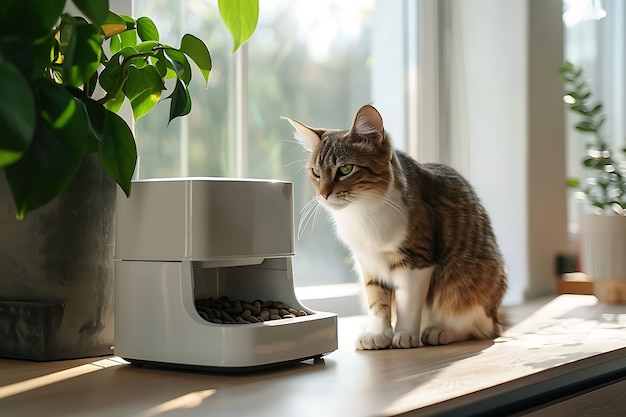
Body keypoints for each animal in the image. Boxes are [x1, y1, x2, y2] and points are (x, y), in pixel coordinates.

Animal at [286, 103, 504, 348]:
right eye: (316, 173)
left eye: (345, 169)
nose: (324, 194)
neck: (361, 212)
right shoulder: (368, 263)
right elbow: (377, 301)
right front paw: (378, 334)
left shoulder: (417, 260)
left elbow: (407, 303)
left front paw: (405, 335)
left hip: (469, 285)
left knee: (476, 325)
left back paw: (440, 331)